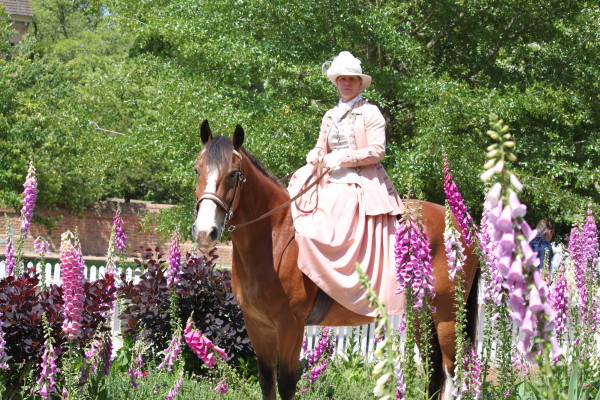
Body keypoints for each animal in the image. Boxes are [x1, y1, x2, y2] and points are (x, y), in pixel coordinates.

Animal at [195, 119, 480, 400]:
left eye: (233, 174)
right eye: (198, 170)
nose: (205, 232)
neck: (275, 238)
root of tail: (460, 225)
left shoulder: (290, 326)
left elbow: (286, 384)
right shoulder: (257, 326)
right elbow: (267, 382)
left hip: (447, 317)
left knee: (451, 371)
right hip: (421, 313)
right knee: (435, 371)